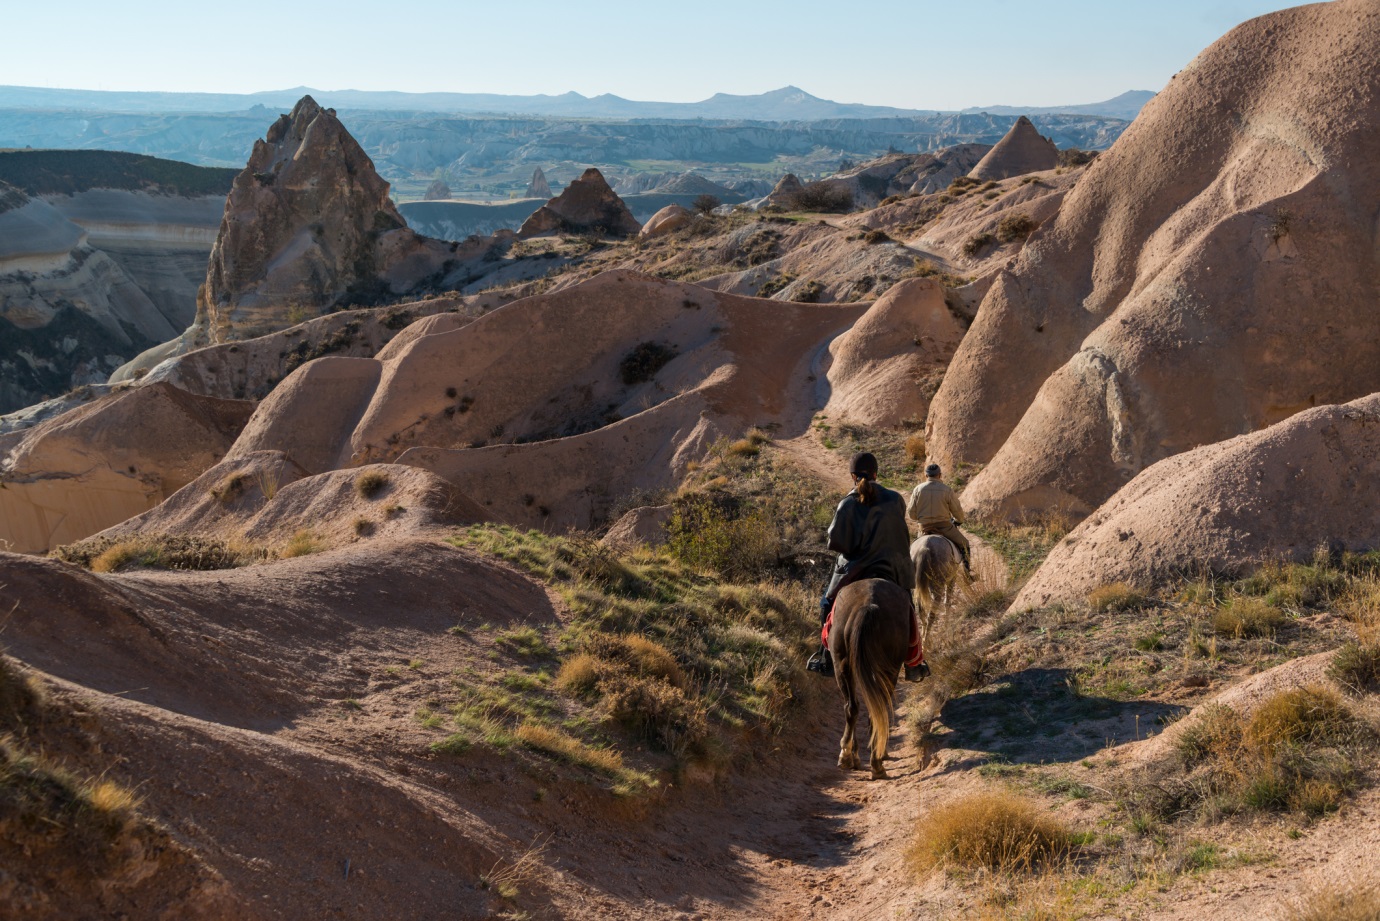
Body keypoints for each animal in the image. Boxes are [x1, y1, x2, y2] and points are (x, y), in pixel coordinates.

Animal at [822, 582, 910, 778]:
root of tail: (867, 605)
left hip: (842, 664)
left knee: (853, 707)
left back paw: (848, 756)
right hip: (888, 669)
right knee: (872, 708)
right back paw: (875, 761)